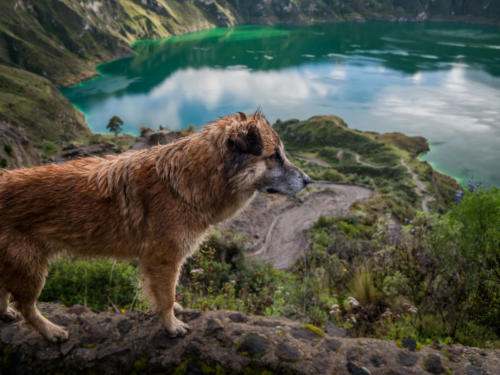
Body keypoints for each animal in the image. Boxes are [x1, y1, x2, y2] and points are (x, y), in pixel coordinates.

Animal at [0, 111, 310, 340]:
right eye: (275, 155)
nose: (308, 181)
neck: (186, 183)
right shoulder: (163, 259)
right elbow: (165, 297)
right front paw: (171, 325)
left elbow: (167, 294)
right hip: (30, 267)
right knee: (26, 306)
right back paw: (50, 331)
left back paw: (5, 314)